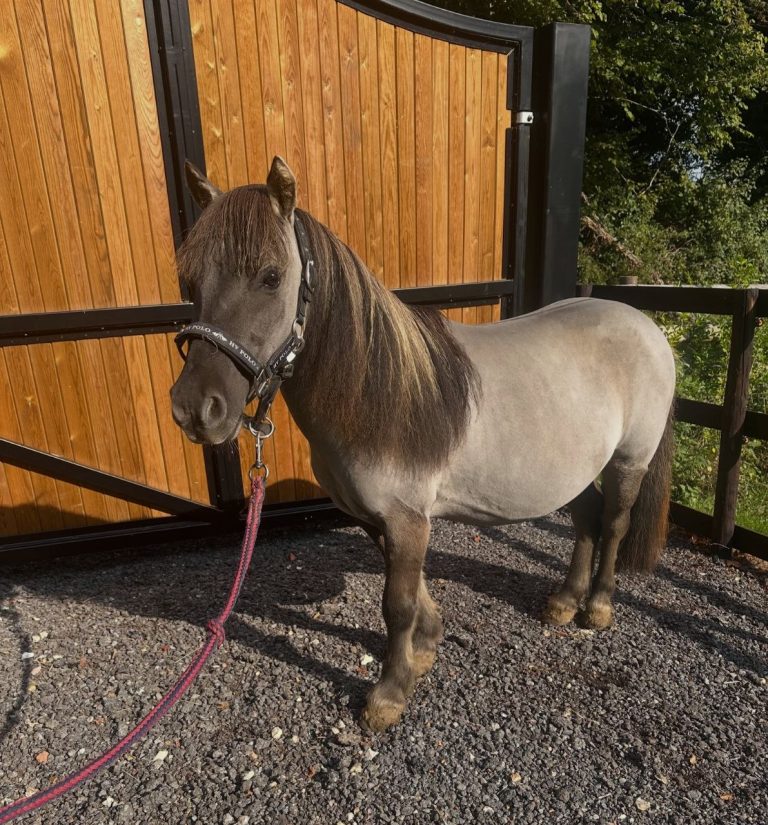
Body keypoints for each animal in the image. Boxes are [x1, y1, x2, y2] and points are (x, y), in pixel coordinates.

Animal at [170, 156, 676, 732]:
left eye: (271, 276)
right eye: (190, 278)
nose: (195, 409)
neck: (377, 393)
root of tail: (646, 324)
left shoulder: (408, 518)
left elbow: (397, 603)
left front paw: (389, 694)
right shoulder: (379, 517)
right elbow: (413, 593)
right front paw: (427, 648)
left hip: (628, 460)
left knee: (614, 523)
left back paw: (598, 608)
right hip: (574, 468)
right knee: (587, 519)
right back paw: (565, 602)